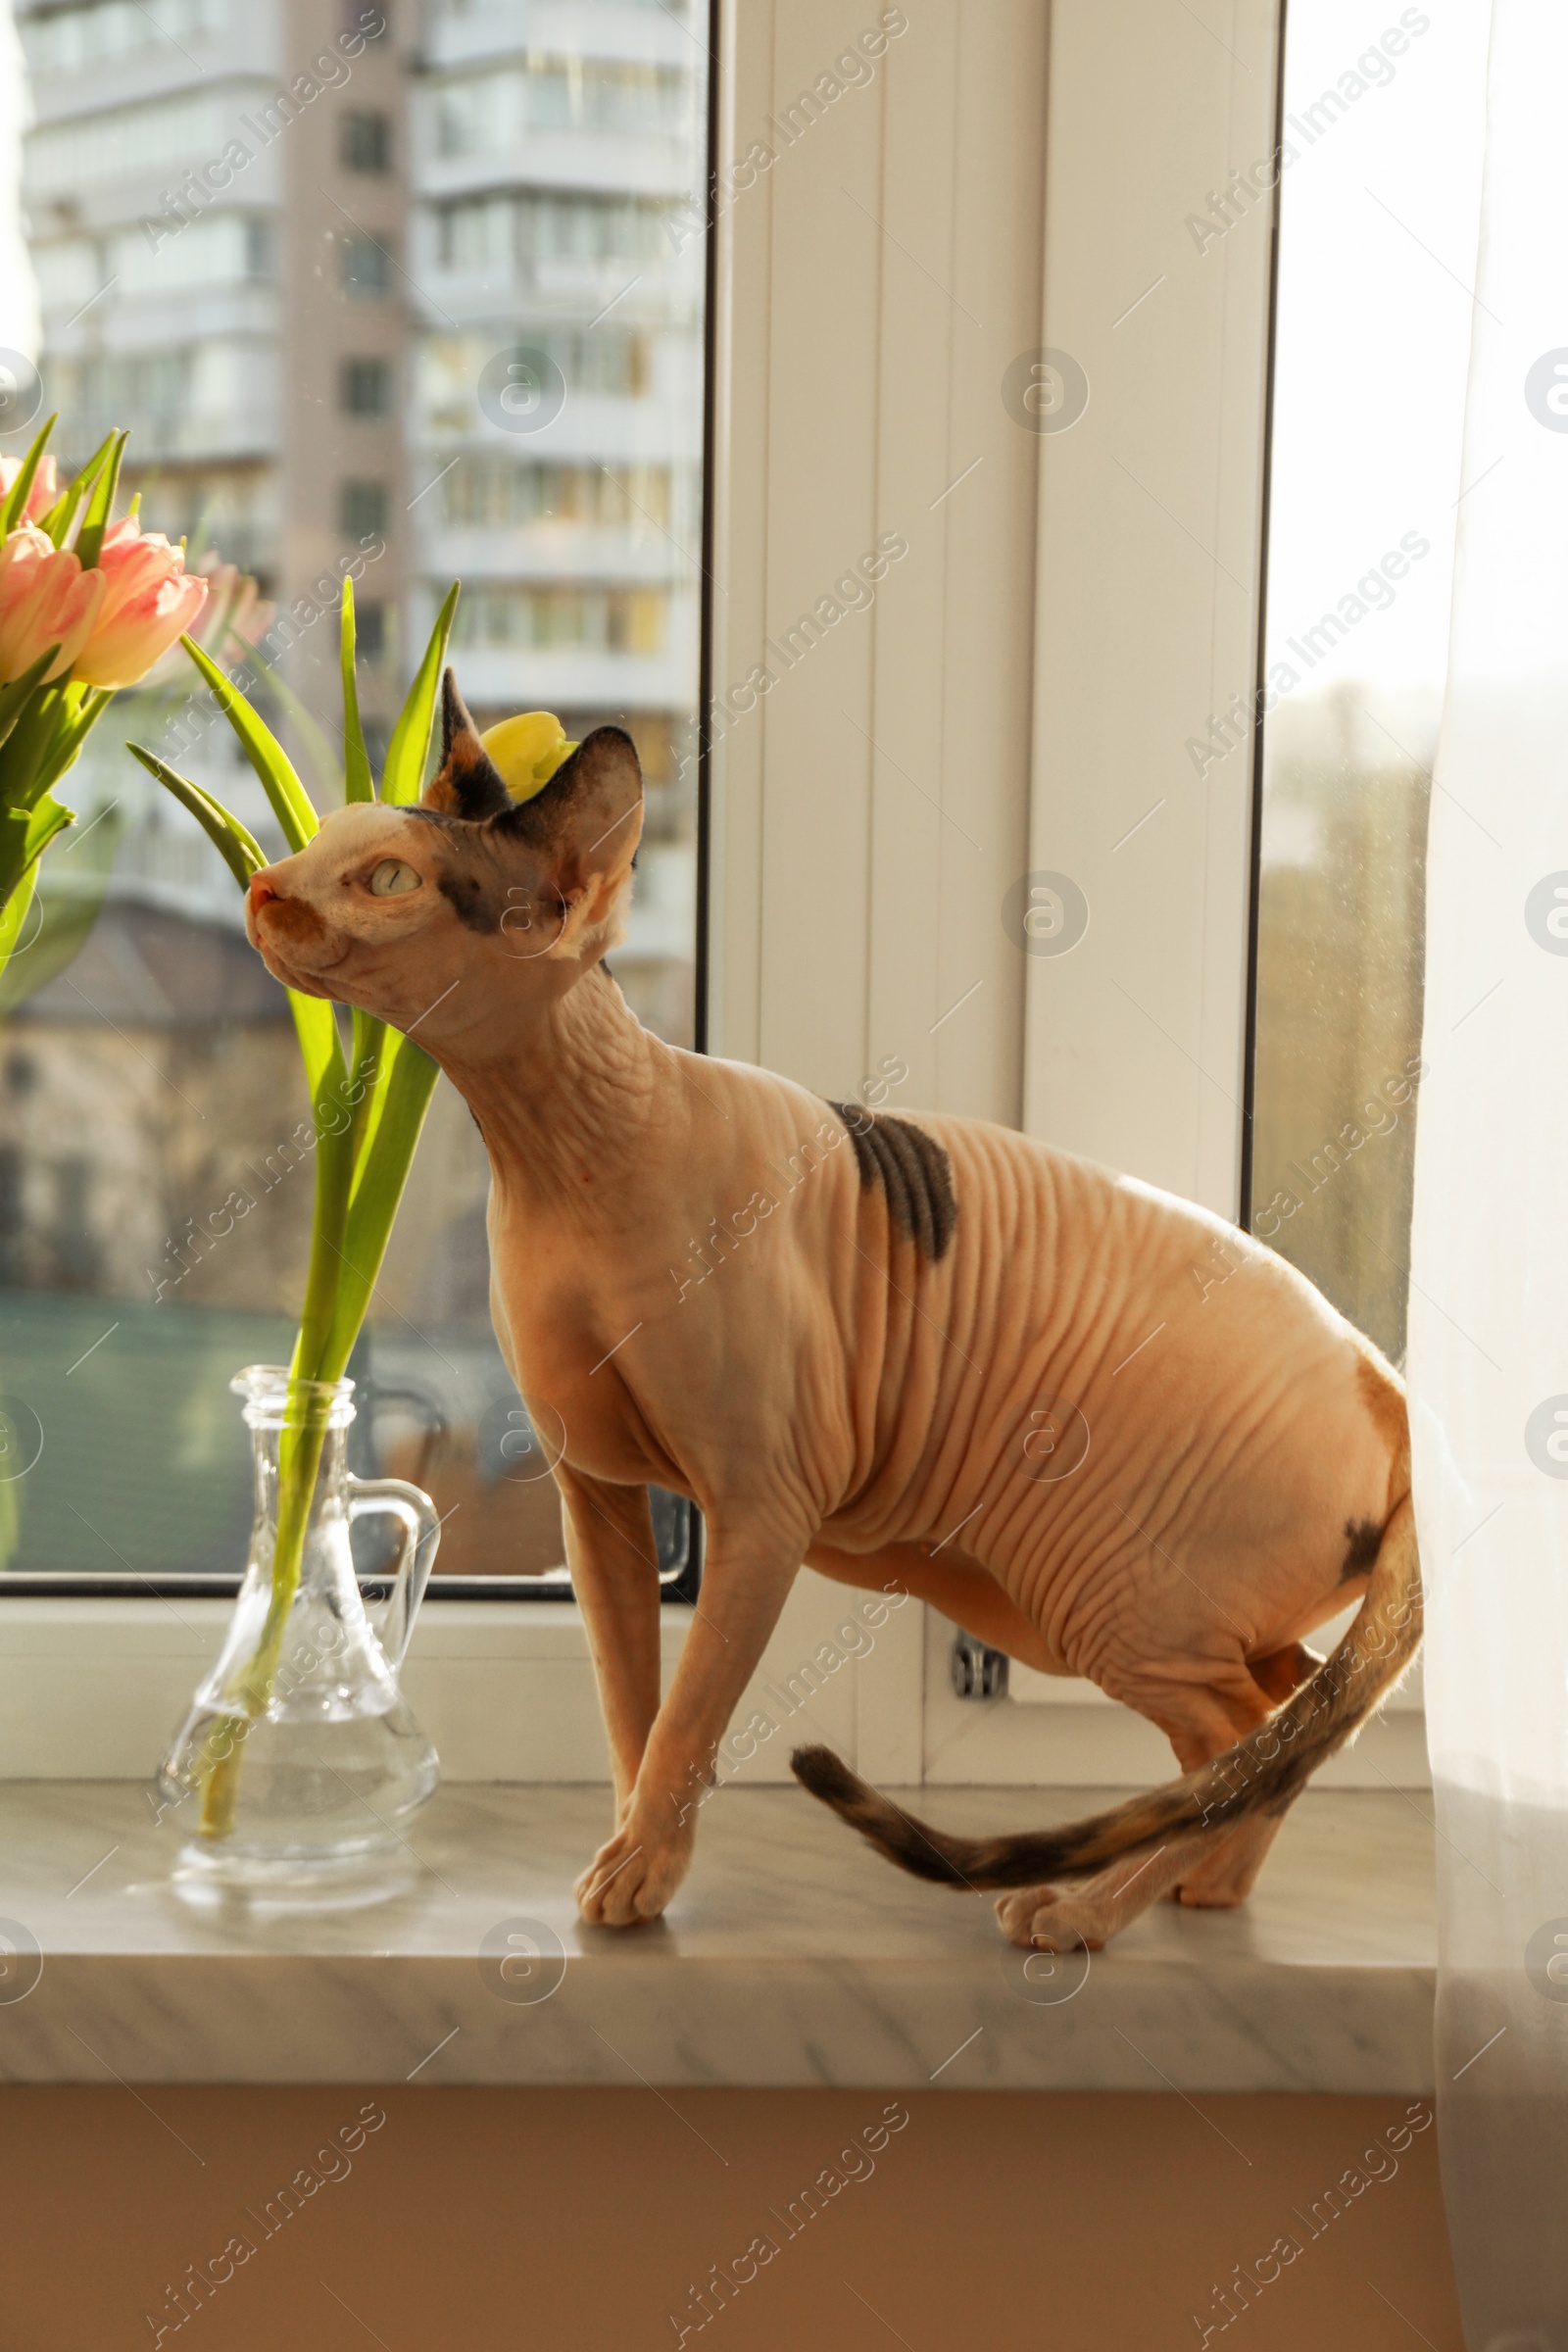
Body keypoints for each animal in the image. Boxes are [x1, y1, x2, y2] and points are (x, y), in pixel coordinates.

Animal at [242, 677, 1419, 1947]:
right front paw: (628, 1855)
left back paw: (1085, 1912)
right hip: (1143, 1610)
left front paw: (643, 1868)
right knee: (1293, 1718)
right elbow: (630, 1709)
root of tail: (1390, 1389)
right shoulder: (595, 1497)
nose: (261, 886)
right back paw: (1210, 1881)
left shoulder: (764, 1507)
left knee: (1231, 1737)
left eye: (386, 879)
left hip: (1098, 1590)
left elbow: (689, 1715)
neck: (559, 1159)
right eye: (317, 842)